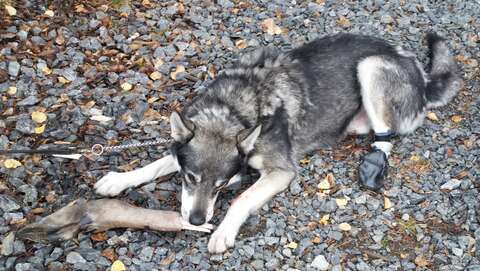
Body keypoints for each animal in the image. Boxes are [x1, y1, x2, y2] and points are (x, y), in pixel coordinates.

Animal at [93, 33, 462, 254]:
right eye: (190, 179)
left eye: (220, 186)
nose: (196, 221)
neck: (239, 108)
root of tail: (422, 75)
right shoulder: (185, 146)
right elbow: (156, 162)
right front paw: (119, 179)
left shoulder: (280, 172)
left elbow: (242, 198)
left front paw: (223, 232)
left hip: (370, 67)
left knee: (388, 136)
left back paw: (374, 163)